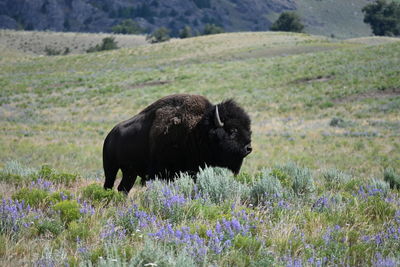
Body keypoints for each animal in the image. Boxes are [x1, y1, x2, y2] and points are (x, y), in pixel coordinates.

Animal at [104, 94, 253, 195]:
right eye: (232, 130)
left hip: (130, 172)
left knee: (123, 188)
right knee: (109, 185)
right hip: (111, 168)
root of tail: (110, 135)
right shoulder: (160, 174)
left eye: (248, 129)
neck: (198, 130)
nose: (248, 148)